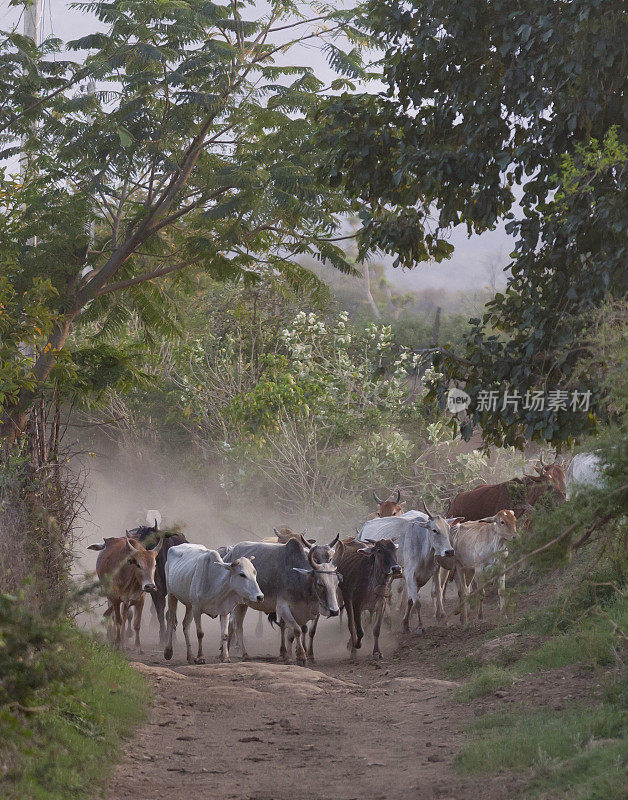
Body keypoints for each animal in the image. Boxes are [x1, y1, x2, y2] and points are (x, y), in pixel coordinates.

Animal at [226, 536, 340, 664]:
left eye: (337, 582)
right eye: (320, 584)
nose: (335, 611)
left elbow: (298, 632)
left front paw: (291, 656)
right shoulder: (283, 608)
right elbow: (297, 630)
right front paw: (301, 656)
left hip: (243, 604)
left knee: (235, 625)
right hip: (236, 603)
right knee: (236, 625)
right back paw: (241, 653)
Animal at [334, 536, 402, 664]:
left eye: (394, 549)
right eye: (379, 550)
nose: (396, 568)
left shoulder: (382, 603)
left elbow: (376, 629)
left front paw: (376, 652)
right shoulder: (356, 603)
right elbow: (359, 631)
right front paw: (356, 646)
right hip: (346, 598)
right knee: (352, 626)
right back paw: (352, 648)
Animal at [358, 504, 456, 636]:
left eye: (448, 529)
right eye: (434, 530)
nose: (449, 551)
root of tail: (364, 527)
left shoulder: (428, 574)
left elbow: (415, 599)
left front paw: (405, 625)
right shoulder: (409, 575)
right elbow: (417, 602)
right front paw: (420, 626)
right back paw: (383, 619)